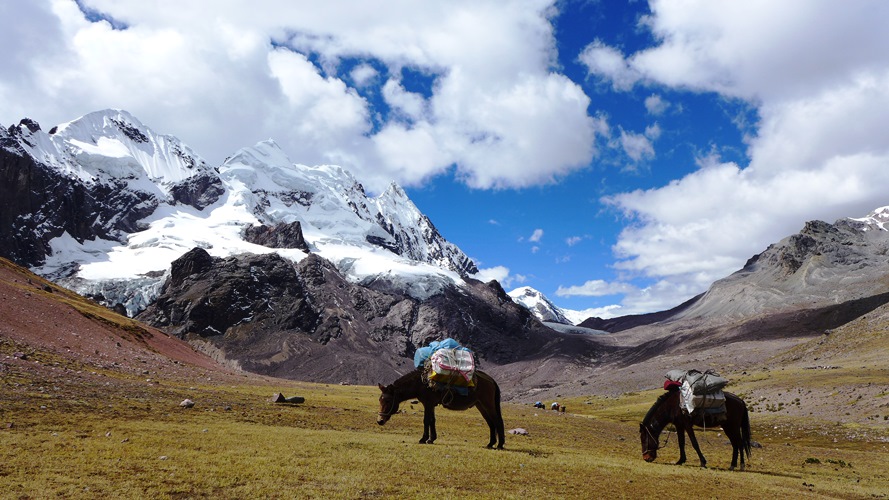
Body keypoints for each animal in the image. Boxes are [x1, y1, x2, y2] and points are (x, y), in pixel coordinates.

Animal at [376, 368, 506, 450]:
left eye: (387, 401)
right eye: (380, 400)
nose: (380, 421)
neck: (421, 383)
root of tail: (491, 380)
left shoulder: (428, 404)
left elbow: (426, 421)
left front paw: (423, 439)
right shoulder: (431, 405)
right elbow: (432, 421)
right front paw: (431, 439)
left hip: (487, 404)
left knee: (498, 421)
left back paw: (500, 445)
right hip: (480, 405)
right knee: (491, 423)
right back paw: (490, 443)